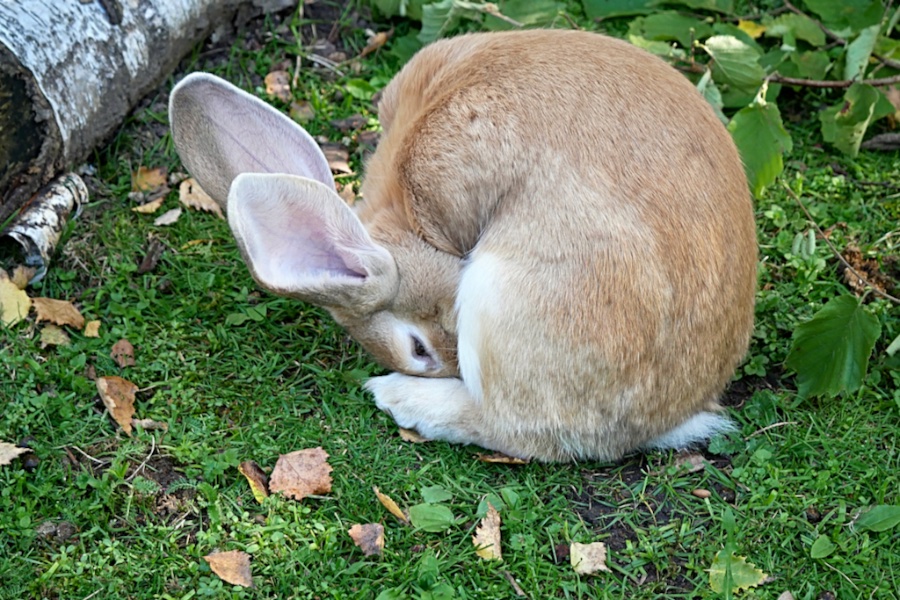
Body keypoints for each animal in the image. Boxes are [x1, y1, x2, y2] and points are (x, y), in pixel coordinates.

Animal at [169, 29, 757, 462]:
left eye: (416, 349)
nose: (442, 367)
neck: (412, 229)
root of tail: (674, 412)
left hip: (504, 300)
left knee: (522, 429)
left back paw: (398, 398)